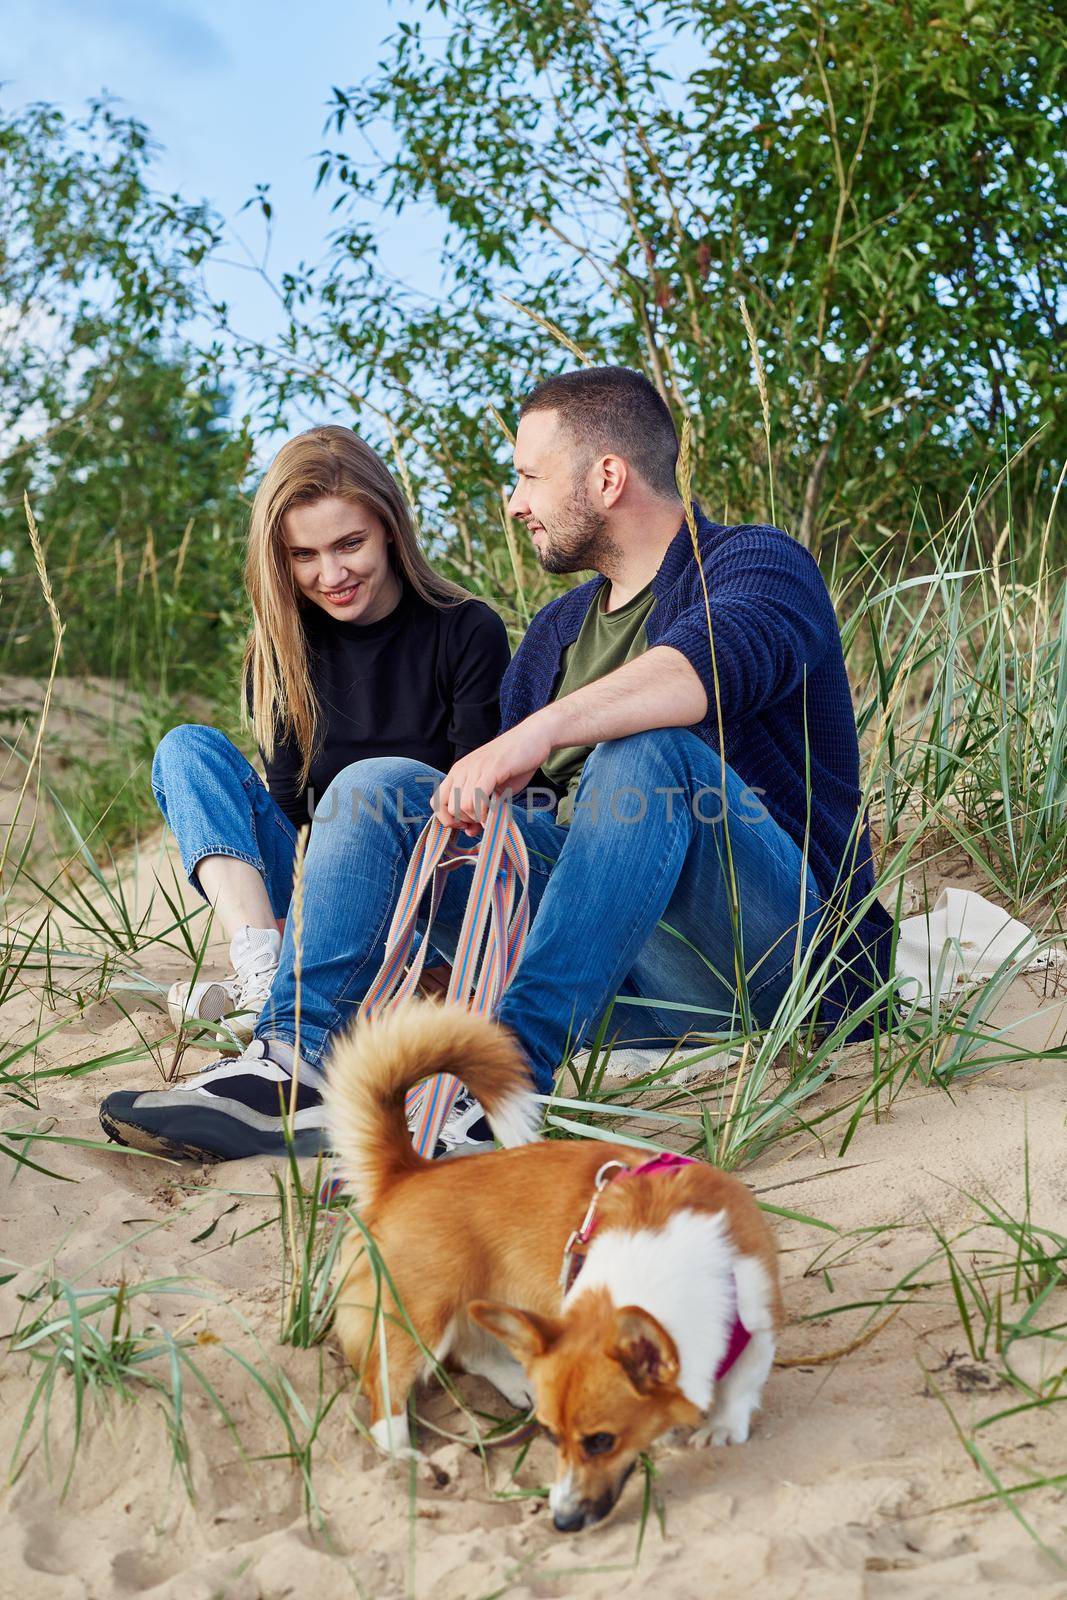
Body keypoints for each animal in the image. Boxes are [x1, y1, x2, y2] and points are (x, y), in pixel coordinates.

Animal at [321, 992, 780, 1529]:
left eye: (601, 1441)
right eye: (551, 1438)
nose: (562, 1521)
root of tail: (408, 1171)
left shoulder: (758, 1318)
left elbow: (742, 1381)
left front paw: (723, 1426)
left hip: (479, 1302)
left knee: (472, 1349)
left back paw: (518, 1383)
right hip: (418, 1317)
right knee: (385, 1386)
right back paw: (404, 1457)